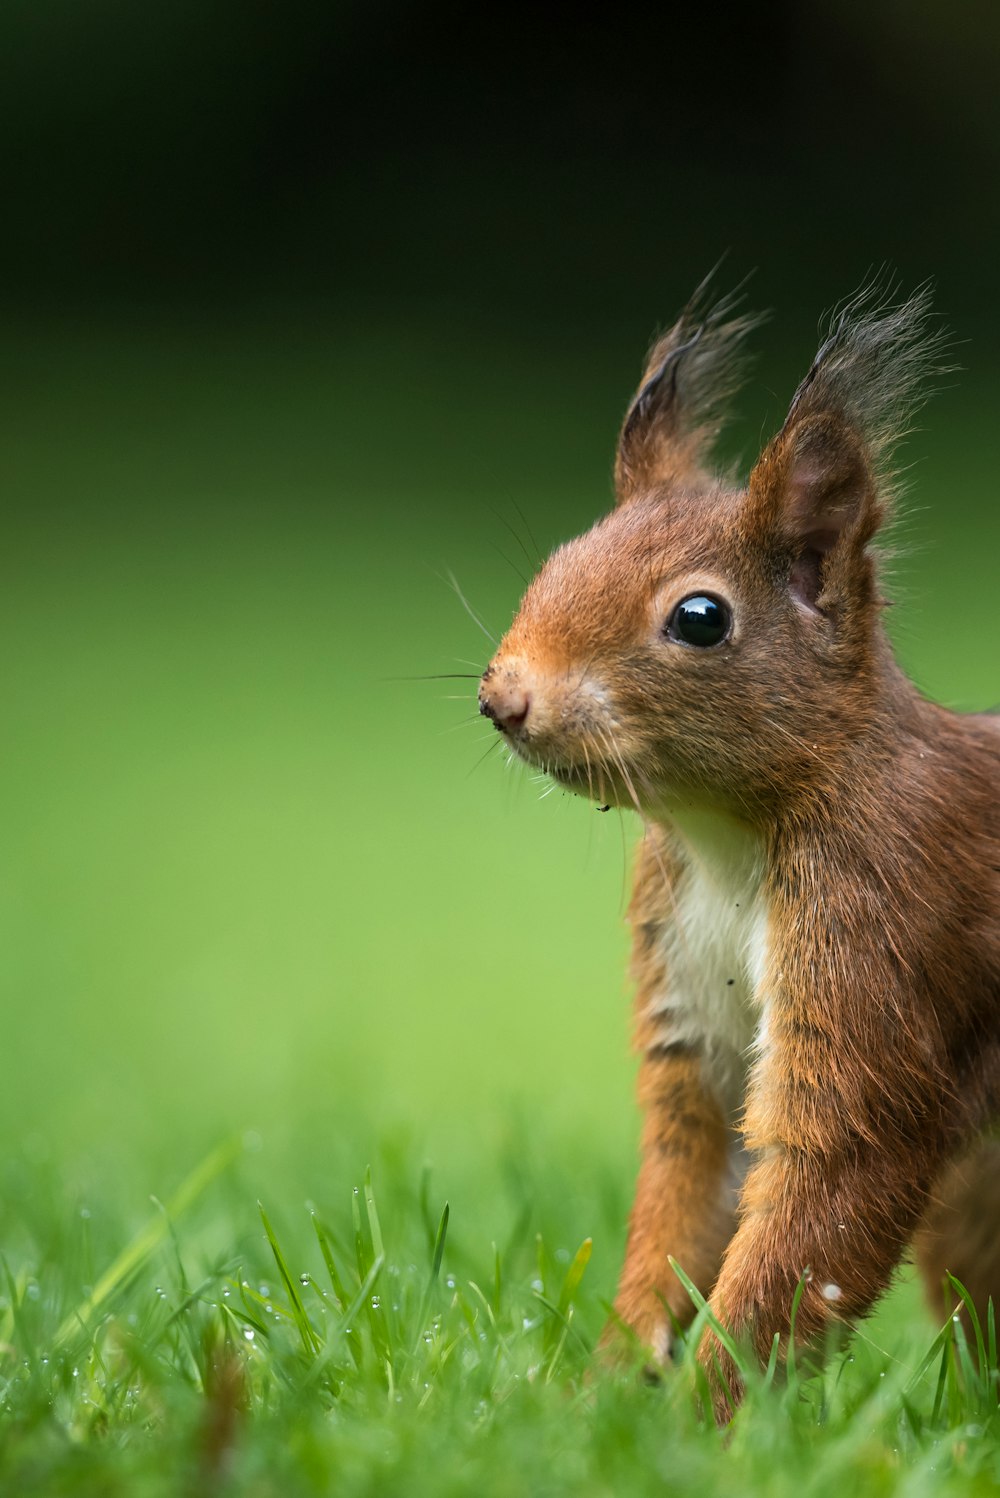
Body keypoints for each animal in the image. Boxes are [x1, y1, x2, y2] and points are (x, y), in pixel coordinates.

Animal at [476, 278, 999, 1414]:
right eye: (556, 561)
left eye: (701, 617)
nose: (505, 699)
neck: (727, 840)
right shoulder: (690, 999)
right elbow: (687, 1189)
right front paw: (604, 1392)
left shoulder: (883, 923)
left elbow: (824, 1196)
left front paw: (705, 1415)